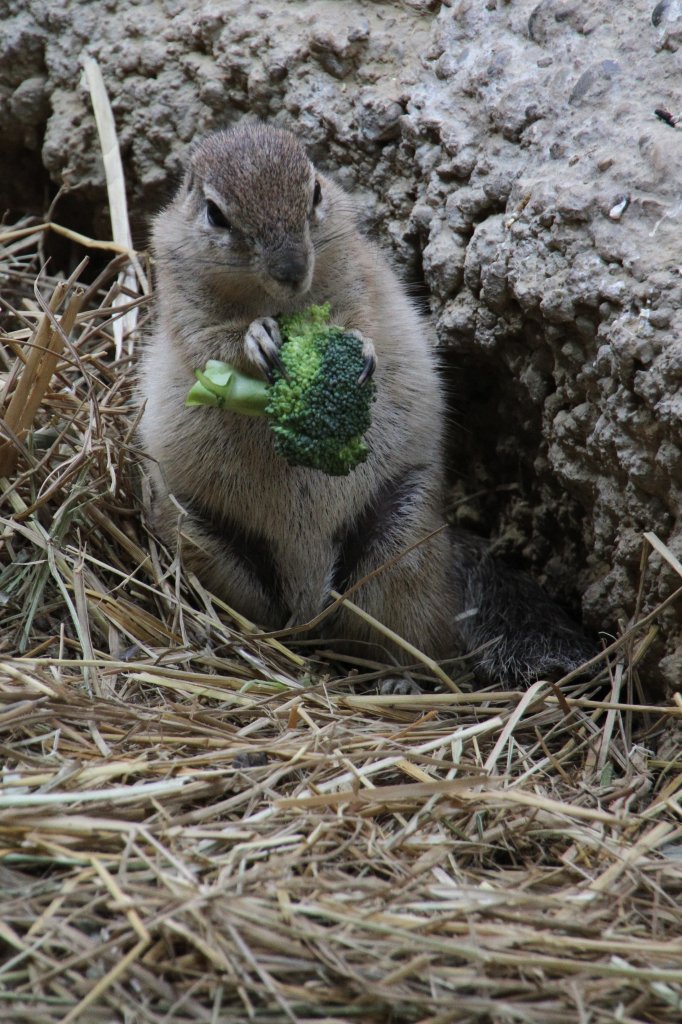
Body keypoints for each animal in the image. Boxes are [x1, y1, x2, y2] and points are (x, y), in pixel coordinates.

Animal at [139, 121, 593, 688]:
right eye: (215, 214)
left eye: (314, 192)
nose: (293, 270)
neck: (278, 302)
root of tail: (309, 597)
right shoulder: (181, 302)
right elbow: (209, 344)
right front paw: (255, 340)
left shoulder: (357, 273)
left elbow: (359, 313)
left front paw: (358, 350)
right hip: (201, 536)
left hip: (400, 545)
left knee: (421, 642)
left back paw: (399, 678)